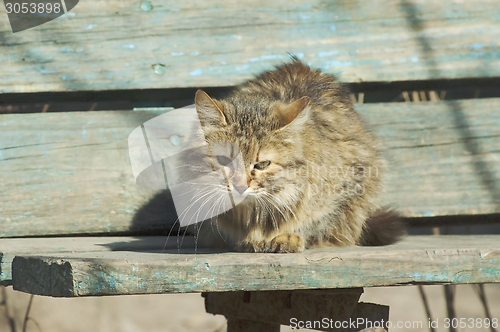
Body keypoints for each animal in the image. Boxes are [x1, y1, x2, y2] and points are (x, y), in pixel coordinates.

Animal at [186, 59, 404, 252]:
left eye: (262, 164)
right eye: (224, 161)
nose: (240, 186)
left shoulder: (350, 186)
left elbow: (311, 222)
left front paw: (287, 236)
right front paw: (251, 239)